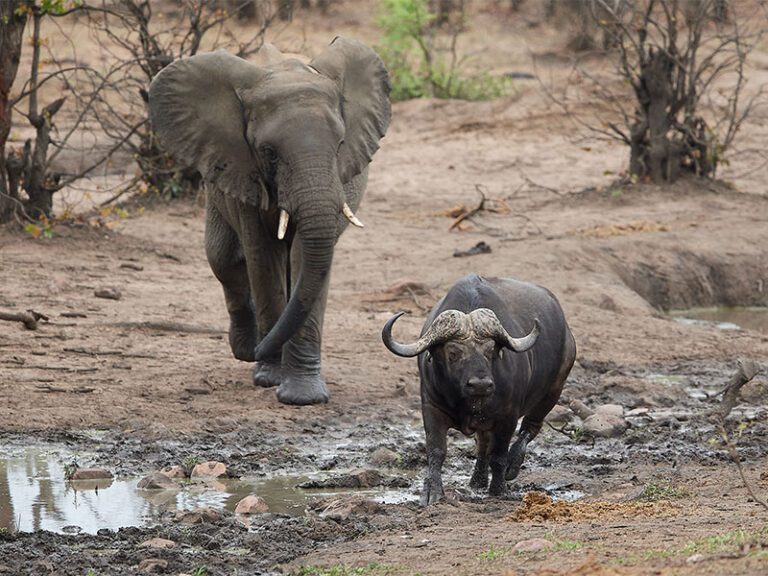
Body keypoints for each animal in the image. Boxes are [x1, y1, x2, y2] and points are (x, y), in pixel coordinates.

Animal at [382, 274, 576, 505]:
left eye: (491, 350)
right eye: (453, 352)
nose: (481, 385)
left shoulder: (507, 415)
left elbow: (499, 456)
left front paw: (498, 489)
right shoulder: (431, 407)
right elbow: (437, 451)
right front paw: (432, 493)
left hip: (553, 390)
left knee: (529, 428)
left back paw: (512, 466)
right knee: (483, 444)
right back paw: (477, 480)